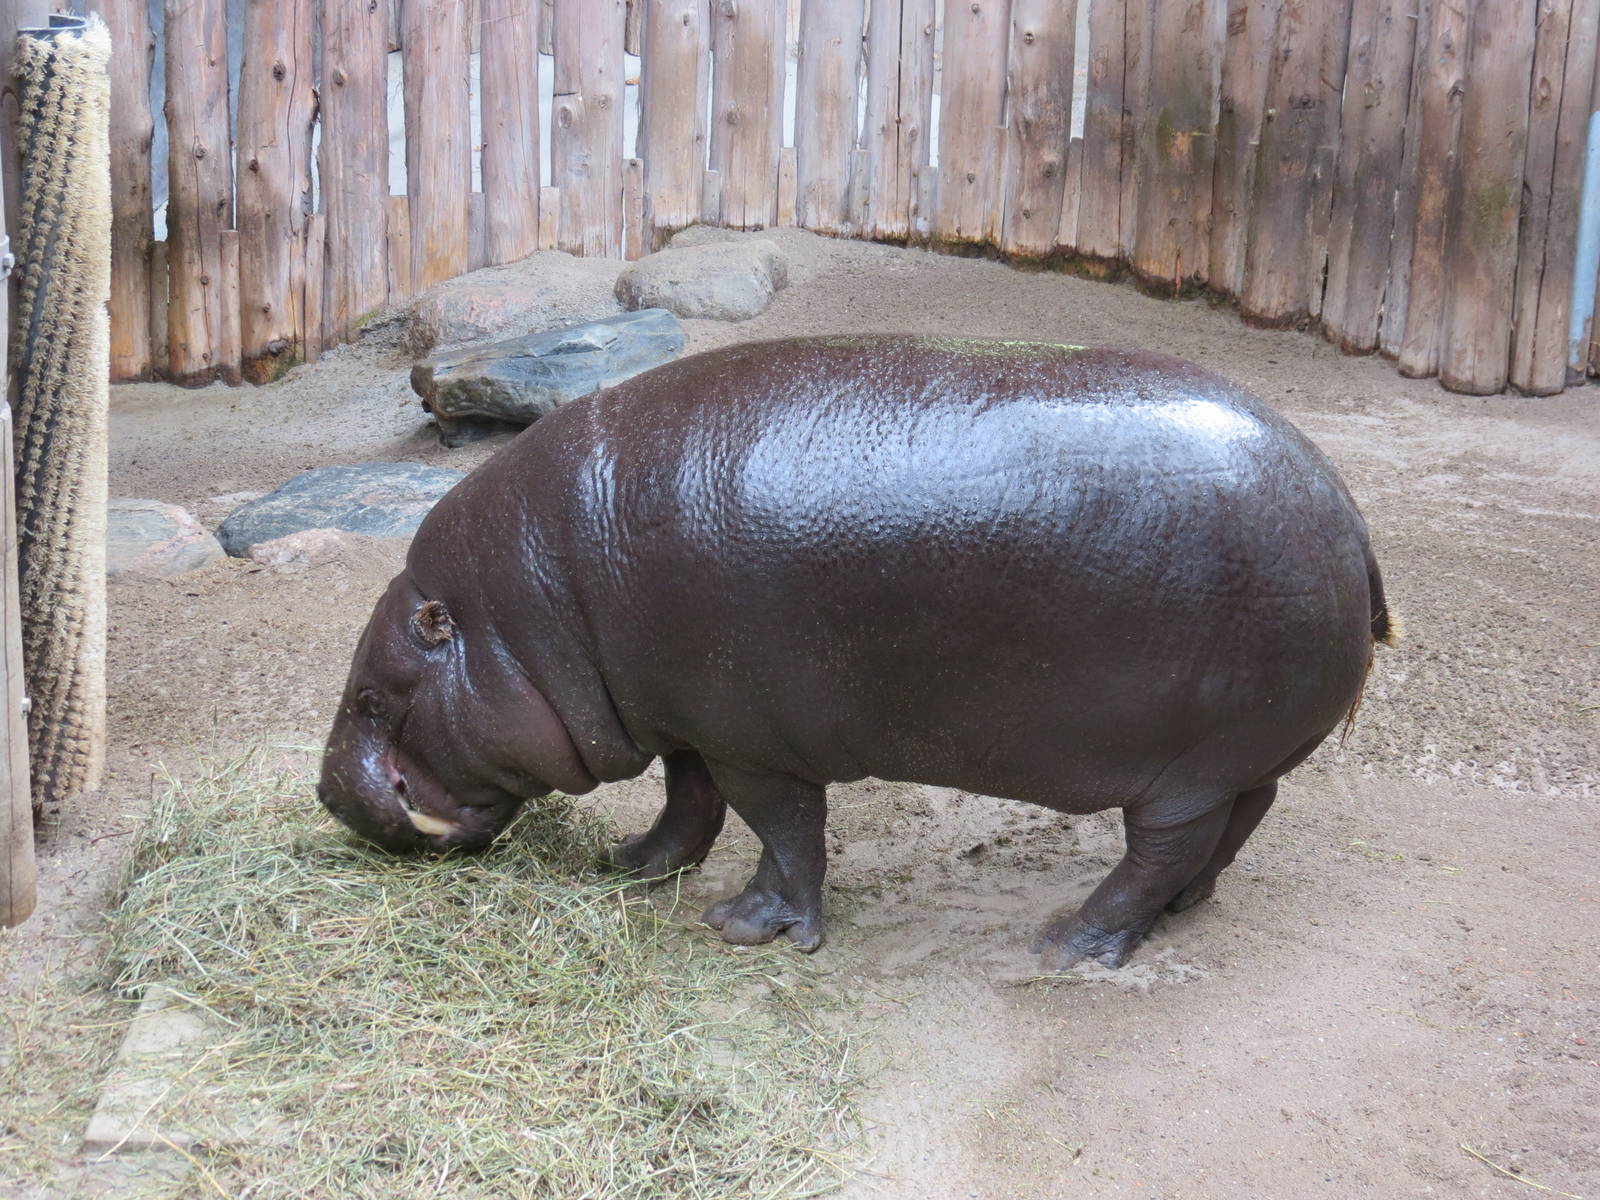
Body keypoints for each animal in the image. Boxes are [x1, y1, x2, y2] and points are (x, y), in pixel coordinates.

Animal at [318, 336, 1397, 968]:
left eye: (372, 697)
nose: (328, 795)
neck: (530, 609)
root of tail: (1351, 519)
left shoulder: (754, 743)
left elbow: (784, 832)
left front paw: (749, 929)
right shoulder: (687, 717)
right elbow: (688, 804)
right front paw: (628, 866)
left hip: (1182, 771)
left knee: (1158, 849)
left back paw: (1066, 944)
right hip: (1233, 756)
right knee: (1236, 824)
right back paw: (1177, 914)